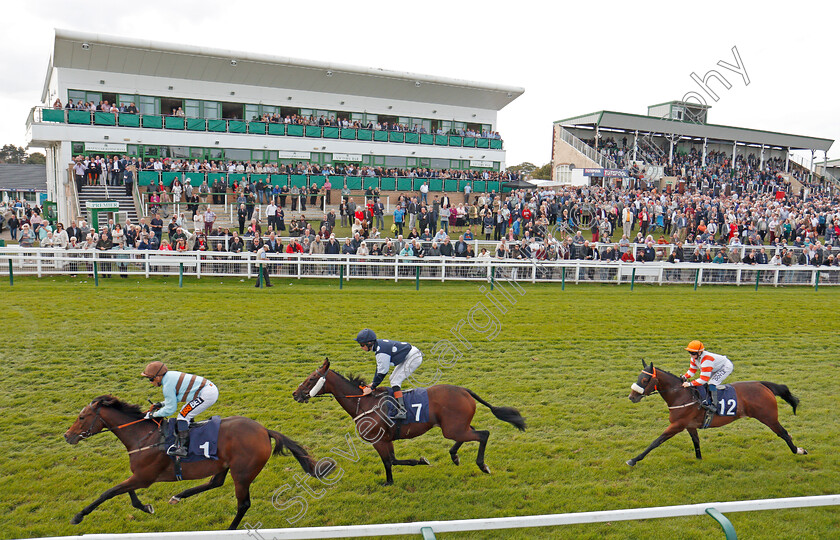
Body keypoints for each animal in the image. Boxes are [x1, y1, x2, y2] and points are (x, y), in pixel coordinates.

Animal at [64, 394, 320, 528]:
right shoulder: (139, 476)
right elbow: (127, 492)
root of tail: (264, 430)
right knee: (215, 483)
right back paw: (179, 495)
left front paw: (78, 516)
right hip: (224, 465)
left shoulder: (144, 477)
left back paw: (229, 529)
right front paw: (146, 507)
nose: (67, 436)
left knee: (243, 504)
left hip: (242, 472)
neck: (143, 436)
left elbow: (109, 492)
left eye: (82, 417)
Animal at [290, 358, 524, 486]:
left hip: (453, 429)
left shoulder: (379, 441)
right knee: (471, 434)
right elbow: (393, 460)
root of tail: (464, 390)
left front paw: (392, 479)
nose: (295, 394)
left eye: (311, 379)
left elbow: (389, 461)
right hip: (455, 427)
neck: (363, 402)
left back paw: (482, 465)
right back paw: (454, 456)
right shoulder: (386, 439)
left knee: (483, 434)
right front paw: (415, 464)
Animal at [628, 360, 804, 466]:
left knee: (783, 433)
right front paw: (699, 459)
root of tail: (762, 384)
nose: (632, 397)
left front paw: (634, 459)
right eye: (638, 377)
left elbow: (656, 441)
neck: (681, 395)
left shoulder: (677, 425)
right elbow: (696, 441)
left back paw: (799, 450)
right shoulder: (689, 425)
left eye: (645, 380)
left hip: (769, 417)